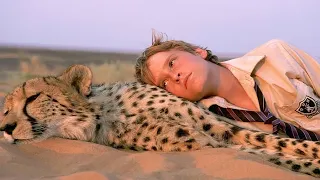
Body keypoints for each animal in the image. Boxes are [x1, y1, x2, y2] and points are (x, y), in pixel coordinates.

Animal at [0, 64, 320, 177]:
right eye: (4, 111)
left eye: (32, 97)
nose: (5, 128)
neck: (105, 112)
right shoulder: (208, 144)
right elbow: (274, 154)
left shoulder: (220, 128)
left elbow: (283, 143)